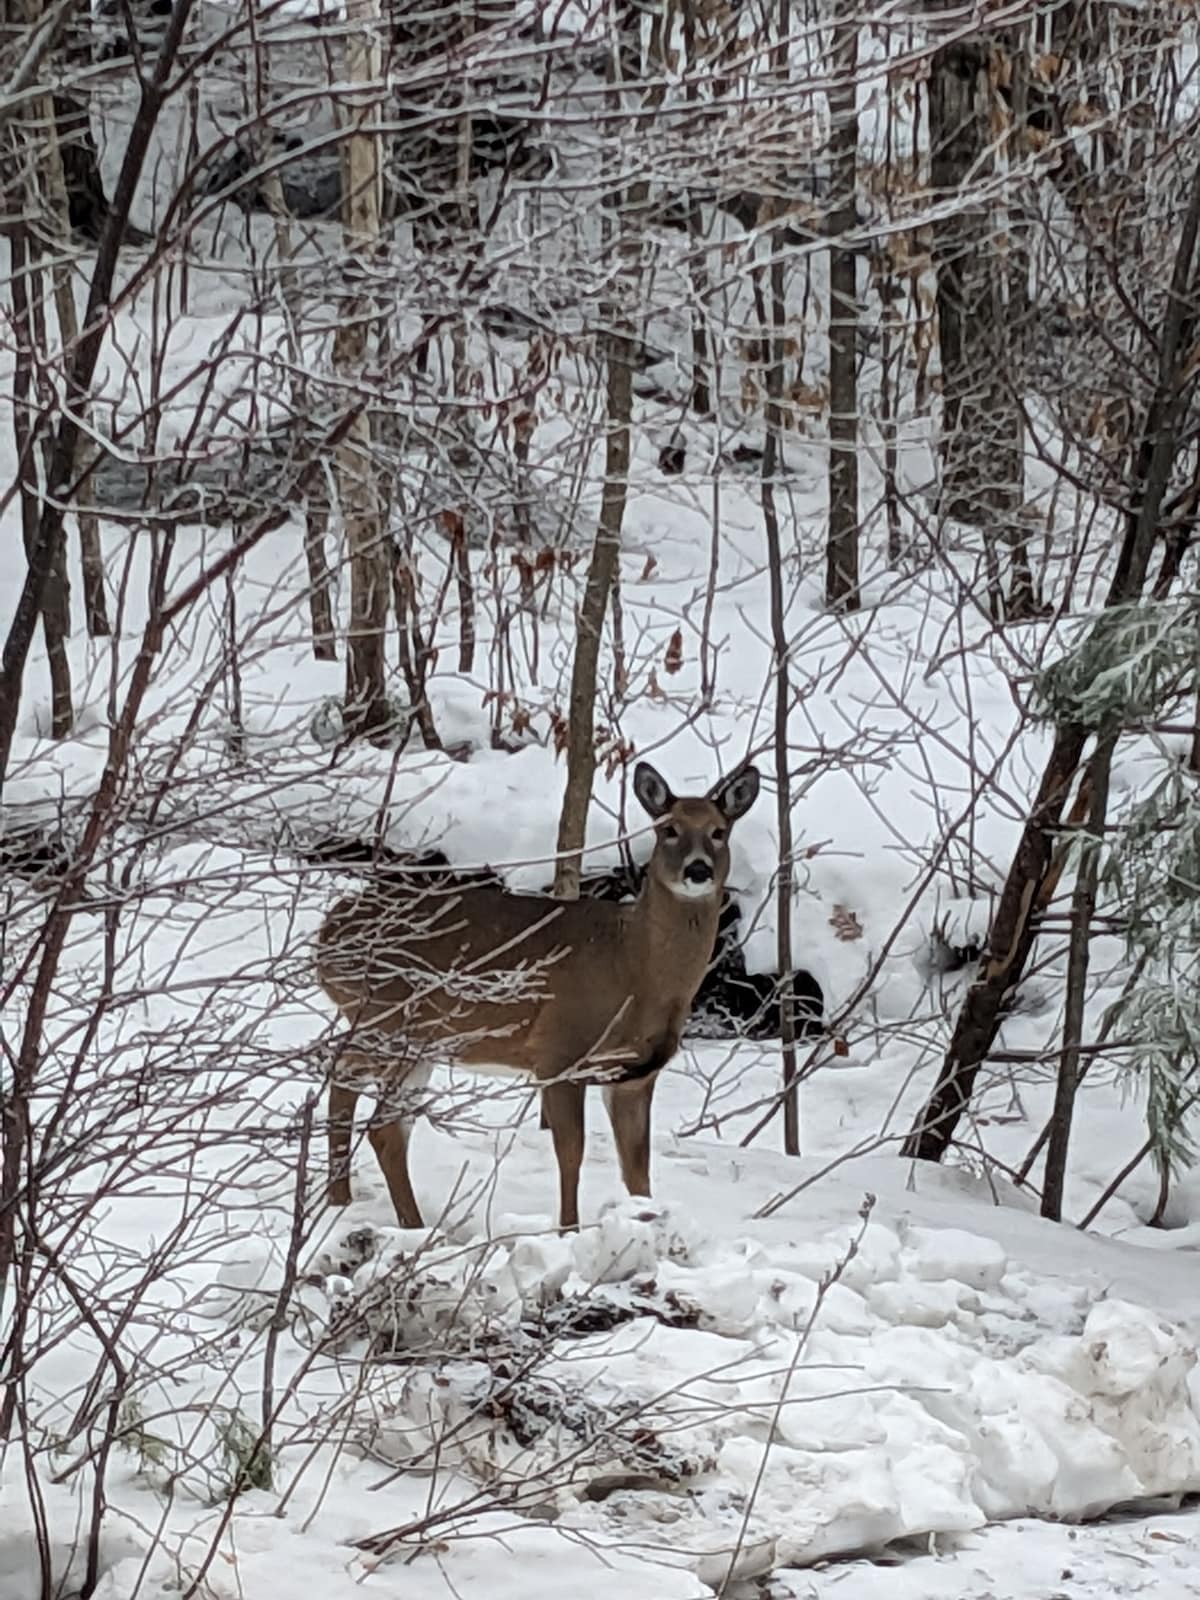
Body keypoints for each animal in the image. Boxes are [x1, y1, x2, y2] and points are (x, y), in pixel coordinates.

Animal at [312, 755, 761, 1228]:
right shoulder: (558, 1050)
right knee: (375, 1115)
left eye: (719, 832)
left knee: (356, 1088)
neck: (635, 969)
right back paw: (406, 1223)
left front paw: (644, 1224)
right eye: (668, 829)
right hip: (396, 1021)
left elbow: (637, 1170)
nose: (698, 869)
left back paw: (350, 1203)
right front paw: (568, 1229)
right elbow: (571, 1153)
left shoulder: (635, 1076)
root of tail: (327, 932)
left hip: (407, 1034)